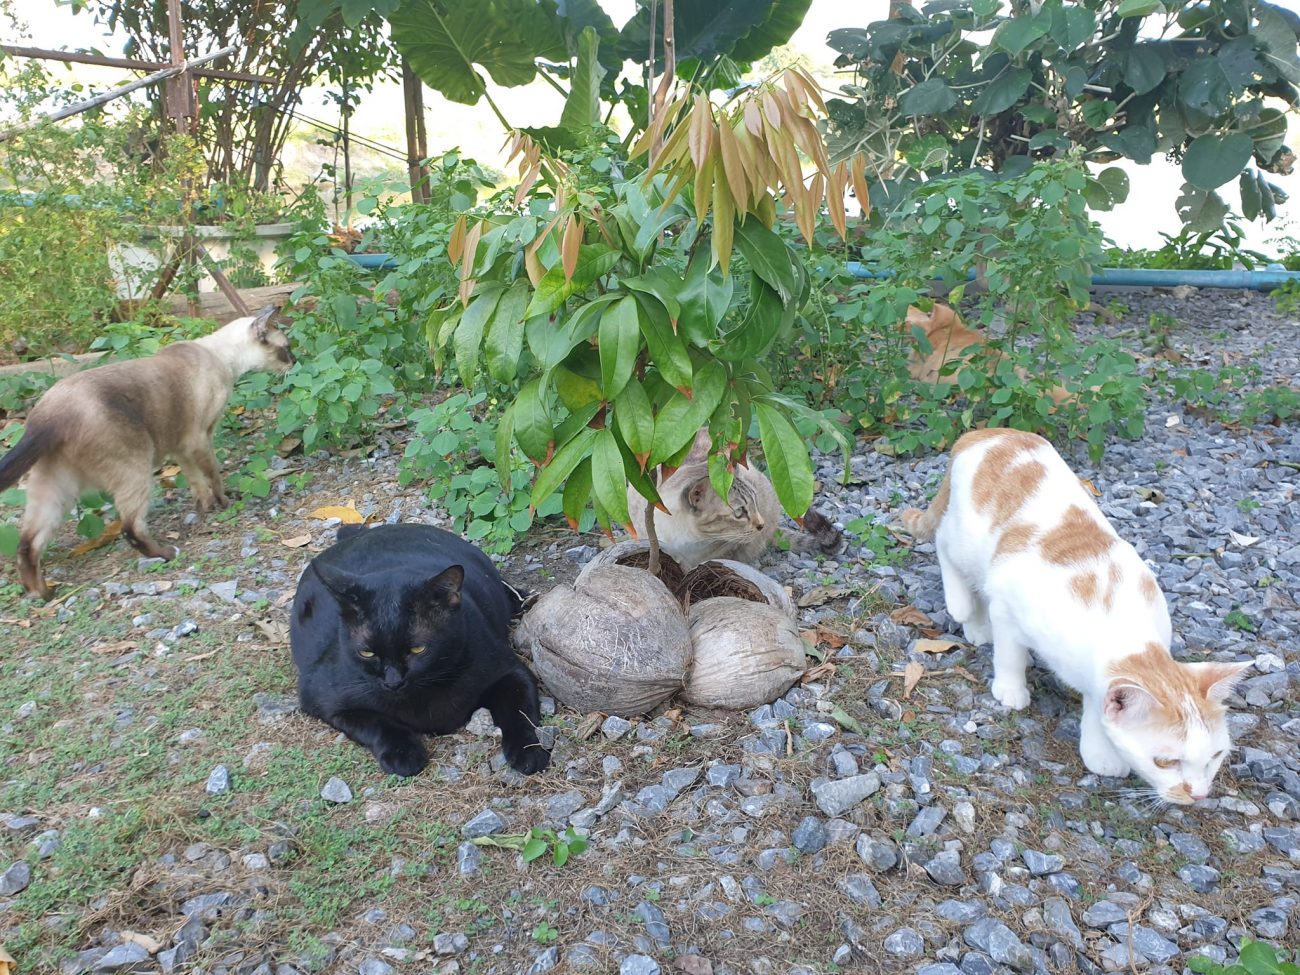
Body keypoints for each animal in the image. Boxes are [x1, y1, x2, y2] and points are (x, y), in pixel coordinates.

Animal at [0, 306, 293, 598]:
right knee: (130, 528)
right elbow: (213, 476)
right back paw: (167, 553)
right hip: (135, 467)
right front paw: (224, 503)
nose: (295, 361)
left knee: (27, 544)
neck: (221, 357)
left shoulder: (182, 447)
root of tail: (47, 417)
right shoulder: (200, 438)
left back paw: (42, 593)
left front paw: (205, 508)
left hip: (57, 487)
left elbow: (196, 481)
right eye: (286, 348)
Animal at [290, 522, 550, 778]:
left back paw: (523, 598)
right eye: (367, 653)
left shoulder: (511, 671)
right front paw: (403, 753)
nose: (393, 681)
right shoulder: (324, 700)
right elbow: (376, 723)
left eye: (418, 649)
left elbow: (519, 713)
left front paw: (529, 750)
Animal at [900, 428, 1249, 804]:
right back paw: (966, 609)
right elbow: (1009, 653)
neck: (1122, 627)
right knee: (944, 542)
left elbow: (1096, 702)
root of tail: (987, 432)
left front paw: (1099, 751)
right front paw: (1011, 688)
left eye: (1215, 756)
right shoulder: (1008, 601)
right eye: (1166, 761)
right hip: (968, 539)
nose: (1199, 795)